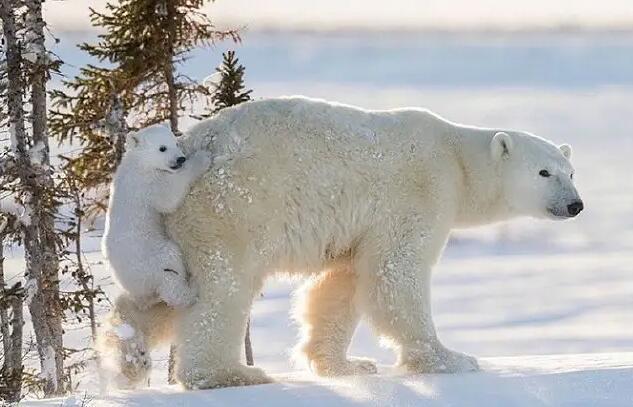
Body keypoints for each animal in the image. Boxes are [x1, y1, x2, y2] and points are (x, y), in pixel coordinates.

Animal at [108, 95, 584, 388]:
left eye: (570, 171)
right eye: (544, 172)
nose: (575, 204)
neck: (456, 158)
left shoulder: (359, 228)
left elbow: (342, 283)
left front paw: (346, 365)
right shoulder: (419, 192)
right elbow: (396, 275)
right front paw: (452, 359)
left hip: (173, 228)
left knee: (164, 292)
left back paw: (128, 349)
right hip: (228, 210)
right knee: (220, 290)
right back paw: (231, 373)